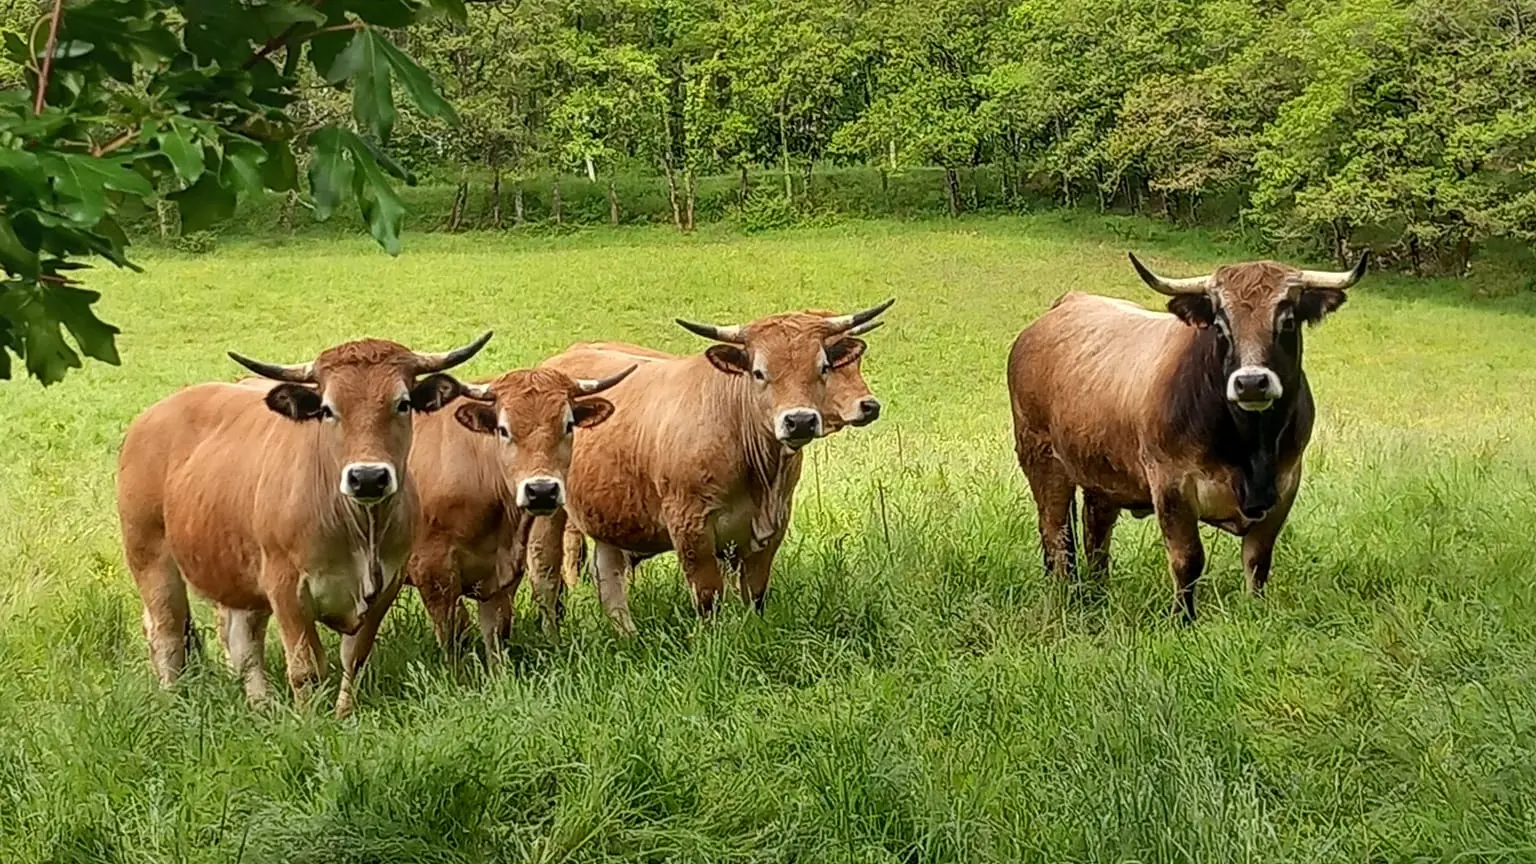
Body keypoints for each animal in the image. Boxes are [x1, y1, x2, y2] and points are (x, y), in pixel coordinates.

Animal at [119, 328, 491, 707]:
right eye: (327, 409)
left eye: (402, 403)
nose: (368, 477)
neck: (359, 529)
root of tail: (152, 416)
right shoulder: (286, 587)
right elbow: (306, 668)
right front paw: (309, 718)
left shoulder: (385, 586)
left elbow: (354, 659)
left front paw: (343, 713)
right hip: (151, 559)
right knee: (167, 633)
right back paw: (172, 698)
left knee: (242, 642)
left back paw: (262, 706)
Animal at [522, 302, 897, 633]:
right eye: (759, 372)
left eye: (822, 366)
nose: (800, 420)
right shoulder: (691, 526)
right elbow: (708, 596)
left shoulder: (771, 528)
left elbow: (753, 595)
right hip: (549, 514)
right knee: (546, 575)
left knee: (609, 577)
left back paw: (627, 636)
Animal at [1007, 252, 1370, 614]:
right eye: (1220, 327)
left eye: (1288, 321)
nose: (1251, 382)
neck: (1250, 447)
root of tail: (1065, 306)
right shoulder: (1171, 486)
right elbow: (1188, 560)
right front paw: (1183, 618)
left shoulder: (1285, 484)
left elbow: (1257, 560)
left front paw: (1254, 611)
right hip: (1044, 463)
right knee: (1057, 537)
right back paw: (1065, 595)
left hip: (1102, 475)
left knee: (1096, 534)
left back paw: (1098, 595)